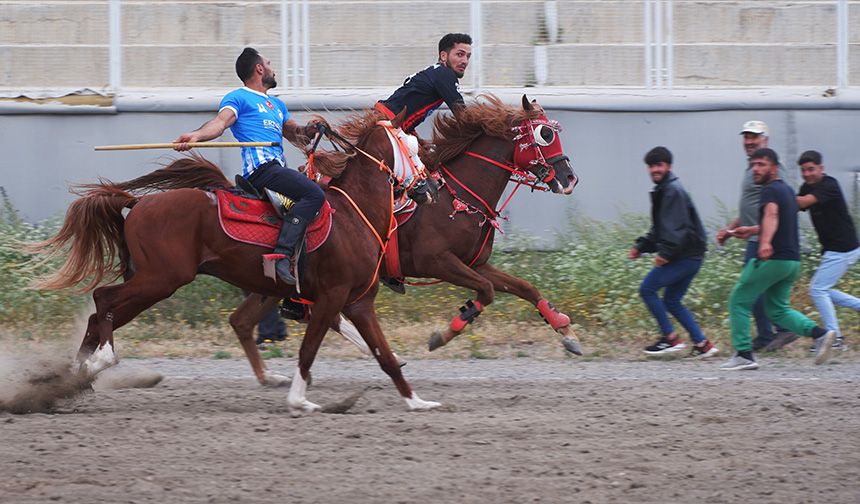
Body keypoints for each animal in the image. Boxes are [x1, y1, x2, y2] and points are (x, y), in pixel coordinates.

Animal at [30, 108, 440, 412]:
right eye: (414, 146)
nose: (431, 185)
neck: (353, 215)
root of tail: (139, 203)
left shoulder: (359, 303)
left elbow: (384, 355)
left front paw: (417, 401)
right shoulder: (330, 298)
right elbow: (308, 350)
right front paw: (299, 400)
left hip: (150, 281)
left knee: (102, 314)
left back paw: (76, 375)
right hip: (160, 279)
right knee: (103, 300)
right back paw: (99, 361)